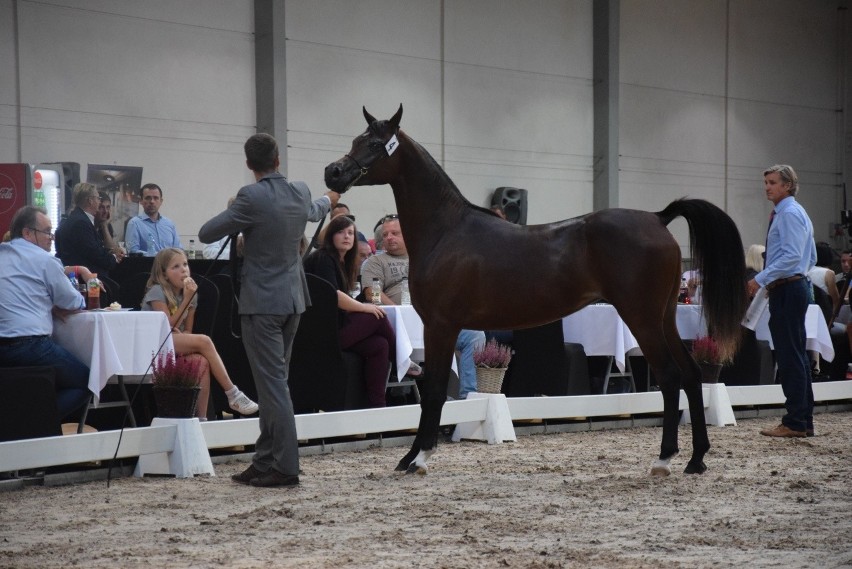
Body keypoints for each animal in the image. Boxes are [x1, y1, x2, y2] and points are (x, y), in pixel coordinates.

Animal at [324, 105, 744, 474]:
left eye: (375, 143)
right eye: (356, 138)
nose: (333, 172)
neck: (447, 231)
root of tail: (658, 218)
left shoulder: (441, 326)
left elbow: (434, 392)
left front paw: (418, 458)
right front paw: (411, 457)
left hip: (641, 318)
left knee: (670, 377)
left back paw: (664, 459)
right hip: (665, 318)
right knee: (691, 375)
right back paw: (696, 459)